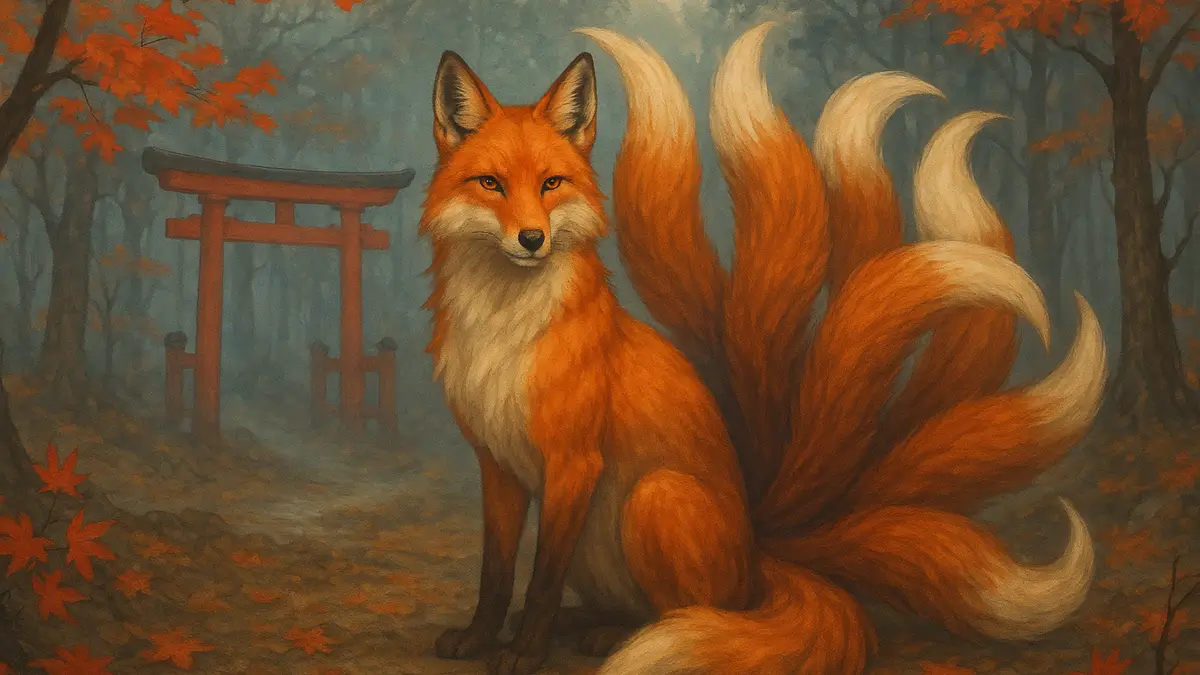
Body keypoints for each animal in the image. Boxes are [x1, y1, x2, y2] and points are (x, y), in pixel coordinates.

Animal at [418, 22, 1106, 675]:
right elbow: (497, 573)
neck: (505, 333)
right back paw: (588, 623)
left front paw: (524, 653)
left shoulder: (572, 463)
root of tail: (759, 552)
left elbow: (539, 579)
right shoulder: (497, 464)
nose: (532, 239)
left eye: (552, 183)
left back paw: (625, 637)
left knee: (701, 611)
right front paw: (479, 640)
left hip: (655, 497)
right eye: (491, 184)